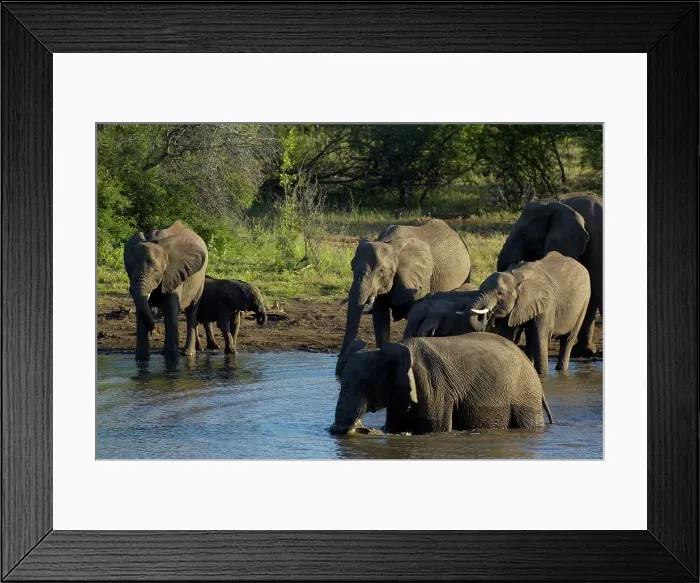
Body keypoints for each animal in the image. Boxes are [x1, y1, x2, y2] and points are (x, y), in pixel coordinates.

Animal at [123, 221, 208, 361]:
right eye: (129, 268)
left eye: (157, 270)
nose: (153, 329)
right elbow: (141, 309)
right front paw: (141, 360)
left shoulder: (174, 272)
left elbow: (170, 307)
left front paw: (172, 361)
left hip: (200, 279)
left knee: (192, 310)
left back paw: (187, 354)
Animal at [329, 333, 553, 436]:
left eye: (366, 385)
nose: (336, 430)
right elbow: (395, 425)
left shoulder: (434, 386)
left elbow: (434, 427)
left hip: (525, 397)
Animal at [336, 218, 471, 375]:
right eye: (352, 268)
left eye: (381, 271)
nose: (363, 342)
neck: (391, 245)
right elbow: (380, 318)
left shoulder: (420, 278)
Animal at [454, 252, 591, 374]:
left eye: (500, 293)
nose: (489, 314)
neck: (516, 278)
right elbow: (506, 334)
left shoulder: (547, 304)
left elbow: (541, 336)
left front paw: (542, 374)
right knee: (530, 338)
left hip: (585, 300)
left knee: (568, 339)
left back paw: (561, 370)